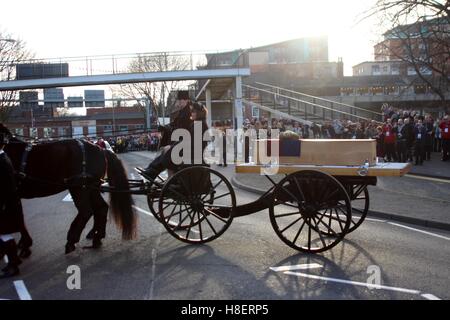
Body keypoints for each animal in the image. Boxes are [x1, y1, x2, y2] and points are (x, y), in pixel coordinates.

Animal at [0, 124, 136, 254]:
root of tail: (100, 149)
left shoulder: (11, 193)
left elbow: (19, 218)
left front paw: (25, 244)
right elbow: (19, 218)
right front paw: (24, 242)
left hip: (79, 188)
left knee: (86, 211)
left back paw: (72, 240)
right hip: (91, 187)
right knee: (101, 208)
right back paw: (97, 238)